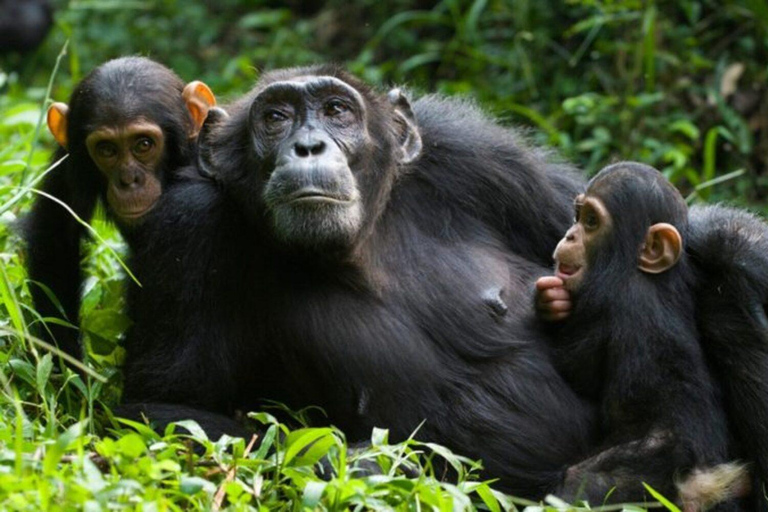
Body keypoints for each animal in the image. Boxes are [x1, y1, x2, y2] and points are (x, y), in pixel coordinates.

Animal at [24, 56, 216, 360]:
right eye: (106, 149)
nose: (129, 180)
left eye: (144, 144)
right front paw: (65, 364)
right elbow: (56, 239)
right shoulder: (68, 158)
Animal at [121, 64, 600, 496]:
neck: (361, 240)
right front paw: (372, 464)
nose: (308, 146)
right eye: (275, 117)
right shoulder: (187, 226)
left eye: (336, 110)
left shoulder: (484, 156)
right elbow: (168, 407)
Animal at [536, 163, 744, 508]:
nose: (569, 234)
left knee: (583, 482)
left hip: (653, 462)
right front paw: (552, 300)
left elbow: (578, 370)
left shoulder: (609, 304)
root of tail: (701, 479)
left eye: (591, 222)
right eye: (577, 215)